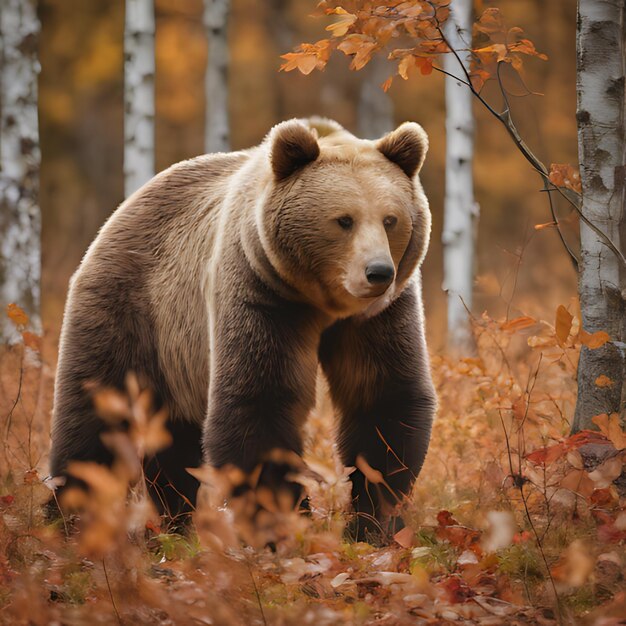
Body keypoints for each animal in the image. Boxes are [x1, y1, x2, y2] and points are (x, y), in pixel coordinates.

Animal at [50, 119, 434, 540]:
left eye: (390, 219)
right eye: (344, 220)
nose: (378, 272)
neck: (322, 304)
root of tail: (124, 208)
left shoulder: (378, 316)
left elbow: (383, 398)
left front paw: (374, 522)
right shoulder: (259, 291)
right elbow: (259, 401)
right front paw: (285, 524)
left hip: (176, 353)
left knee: (175, 438)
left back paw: (175, 521)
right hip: (132, 308)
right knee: (94, 416)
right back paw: (68, 518)